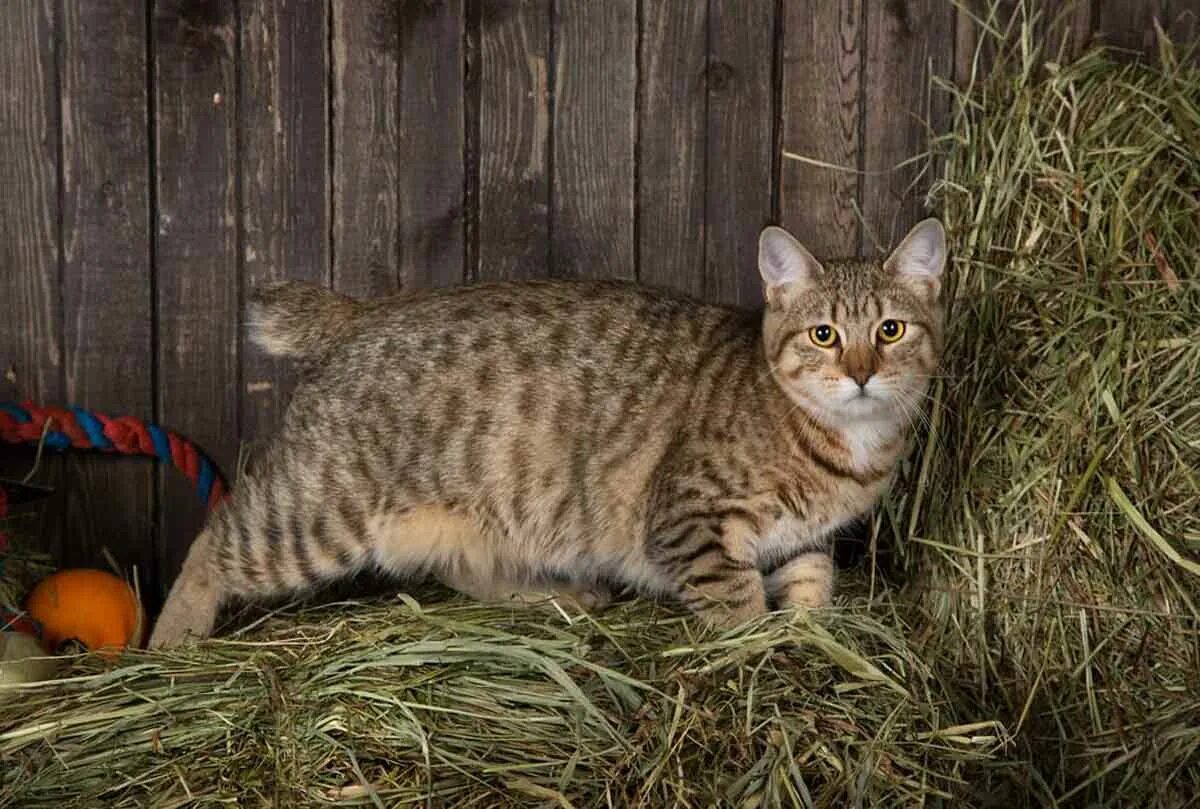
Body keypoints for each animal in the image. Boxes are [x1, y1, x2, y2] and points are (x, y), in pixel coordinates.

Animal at [147, 217, 945, 648]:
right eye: (822, 334)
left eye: (890, 330)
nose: (863, 373)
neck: (846, 445)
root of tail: (363, 312)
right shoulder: (688, 521)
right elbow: (736, 602)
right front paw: (754, 651)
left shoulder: (806, 539)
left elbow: (813, 585)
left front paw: (808, 638)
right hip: (317, 513)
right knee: (213, 540)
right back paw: (168, 644)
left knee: (455, 568)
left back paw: (558, 595)